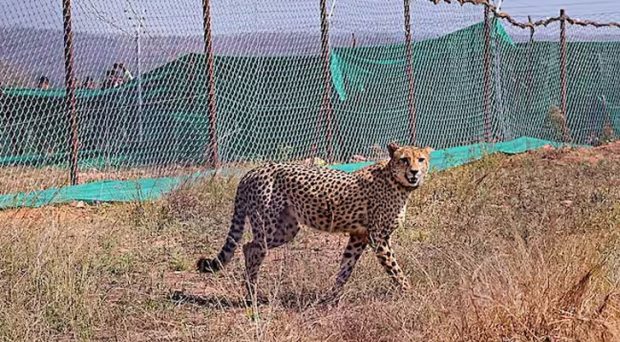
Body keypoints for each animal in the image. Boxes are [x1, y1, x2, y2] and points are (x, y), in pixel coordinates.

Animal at [197, 143, 432, 304]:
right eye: (404, 159)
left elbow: (345, 268)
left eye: (421, 159)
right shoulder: (379, 238)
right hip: (268, 225)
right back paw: (252, 295)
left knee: (248, 246)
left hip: (287, 229)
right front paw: (411, 293)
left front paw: (332, 298)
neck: (397, 182)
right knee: (253, 249)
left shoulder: (359, 236)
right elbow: (395, 269)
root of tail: (251, 171)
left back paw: (250, 292)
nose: (414, 172)